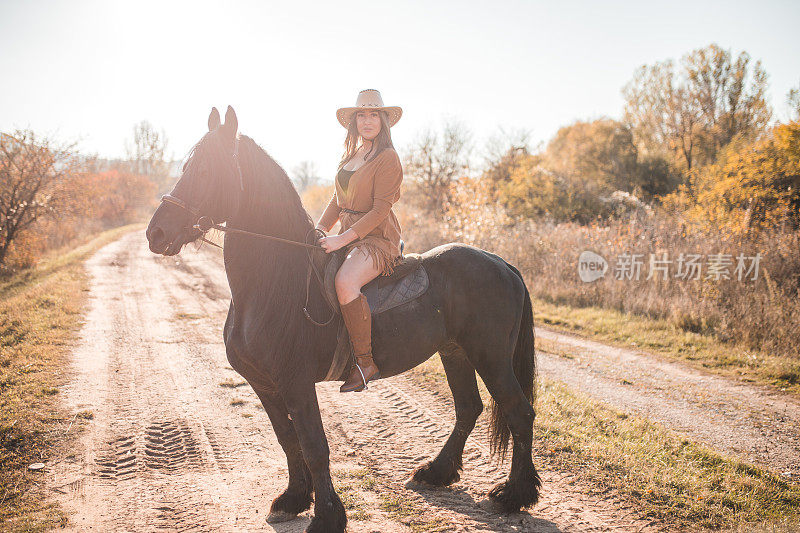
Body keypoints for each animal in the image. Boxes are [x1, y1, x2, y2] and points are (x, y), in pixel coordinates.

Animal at [147, 106, 540, 528]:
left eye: (206, 170)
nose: (156, 233)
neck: (274, 282)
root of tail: (502, 264)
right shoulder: (264, 385)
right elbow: (288, 439)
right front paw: (293, 498)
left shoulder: (296, 383)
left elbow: (314, 445)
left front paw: (327, 516)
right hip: (455, 353)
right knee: (469, 409)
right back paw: (437, 472)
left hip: (491, 357)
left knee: (519, 412)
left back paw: (514, 495)